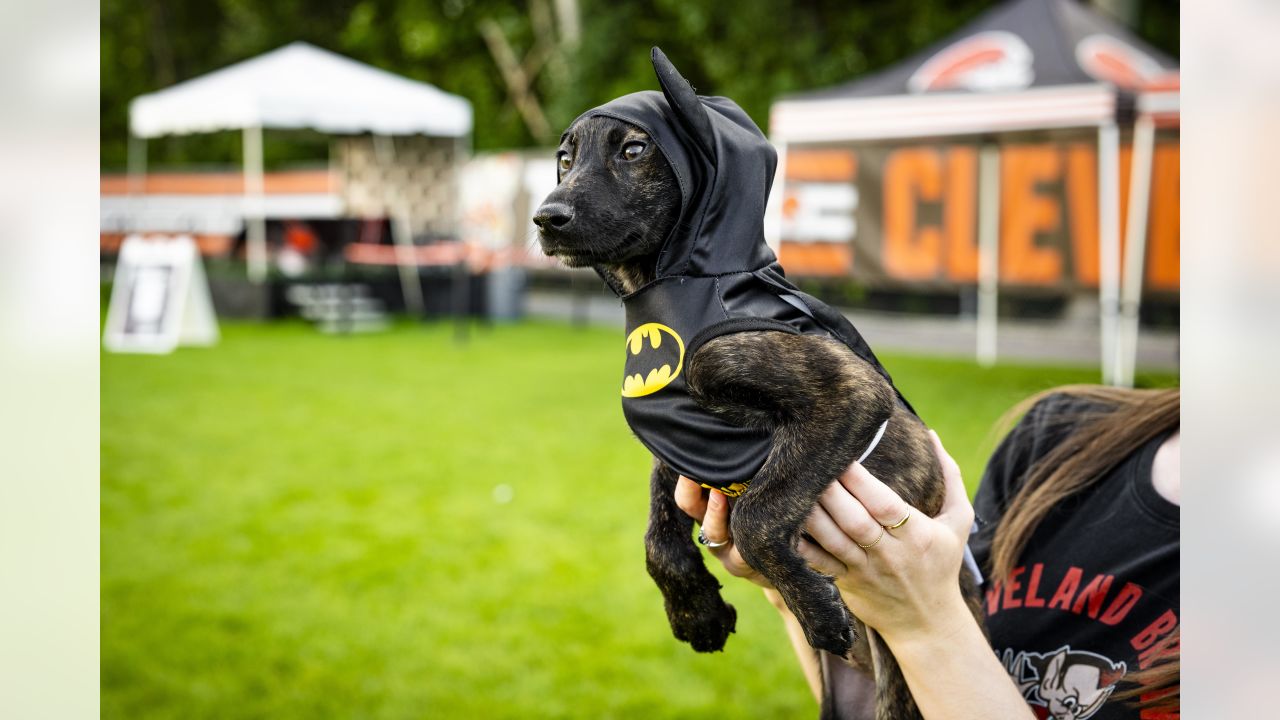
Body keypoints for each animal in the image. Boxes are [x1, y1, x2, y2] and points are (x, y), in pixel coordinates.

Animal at [535, 78, 983, 717]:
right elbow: (657, 536)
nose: (546, 217)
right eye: (565, 159)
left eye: (634, 150)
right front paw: (696, 613)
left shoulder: (849, 393)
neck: (681, 288)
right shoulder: (681, 443)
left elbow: (756, 513)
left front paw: (815, 609)